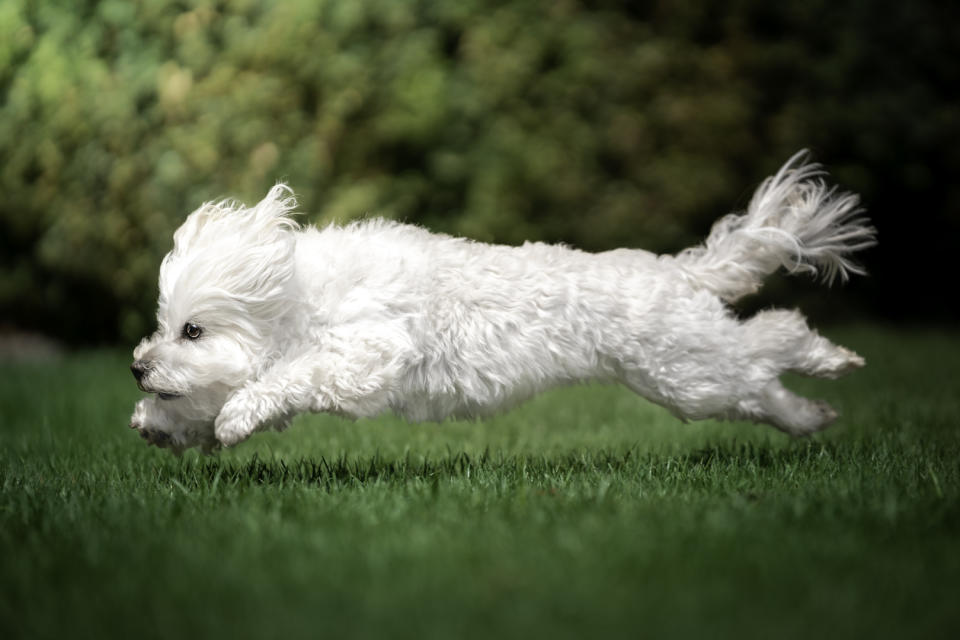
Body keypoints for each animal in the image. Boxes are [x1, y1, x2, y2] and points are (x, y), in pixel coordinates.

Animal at [129, 153, 876, 456]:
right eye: (163, 327)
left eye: (192, 329)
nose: (136, 367)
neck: (296, 297)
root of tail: (679, 273)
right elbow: (207, 403)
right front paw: (158, 423)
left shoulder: (366, 353)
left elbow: (284, 381)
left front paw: (234, 417)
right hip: (691, 377)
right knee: (762, 382)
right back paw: (813, 413)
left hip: (687, 367)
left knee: (775, 338)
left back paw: (832, 359)